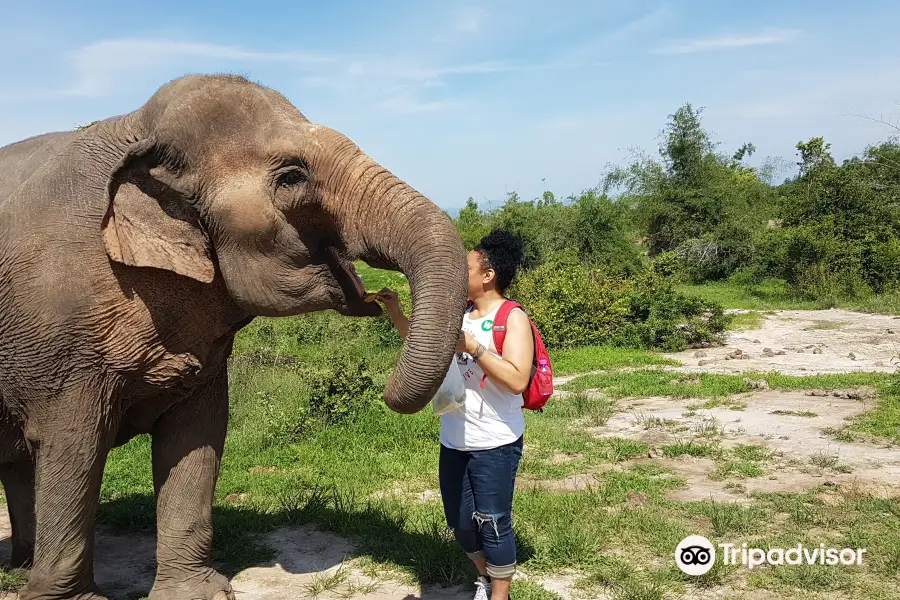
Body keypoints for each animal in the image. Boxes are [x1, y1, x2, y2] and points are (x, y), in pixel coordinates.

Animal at [1, 72, 472, 596]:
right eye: (292, 177)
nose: (383, 297)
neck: (136, 127)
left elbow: (198, 434)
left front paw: (194, 593)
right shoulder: (60, 337)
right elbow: (73, 445)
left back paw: (19, 567)